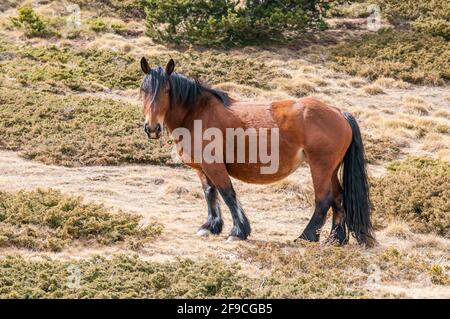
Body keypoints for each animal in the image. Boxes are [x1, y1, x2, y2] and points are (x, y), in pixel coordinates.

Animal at [138, 57, 376, 248]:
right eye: (143, 90)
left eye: (167, 91)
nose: (152, 128)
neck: (197, 113)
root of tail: (339, 112)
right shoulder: (201, 168)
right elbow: (210, 193)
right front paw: (210, 226)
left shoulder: (214, 166)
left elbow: (227, 193)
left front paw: (238, 231)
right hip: (331, 169)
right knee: (339, 198)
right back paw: (335, 239)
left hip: (320, 167)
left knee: (324, 199)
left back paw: (306, 236)